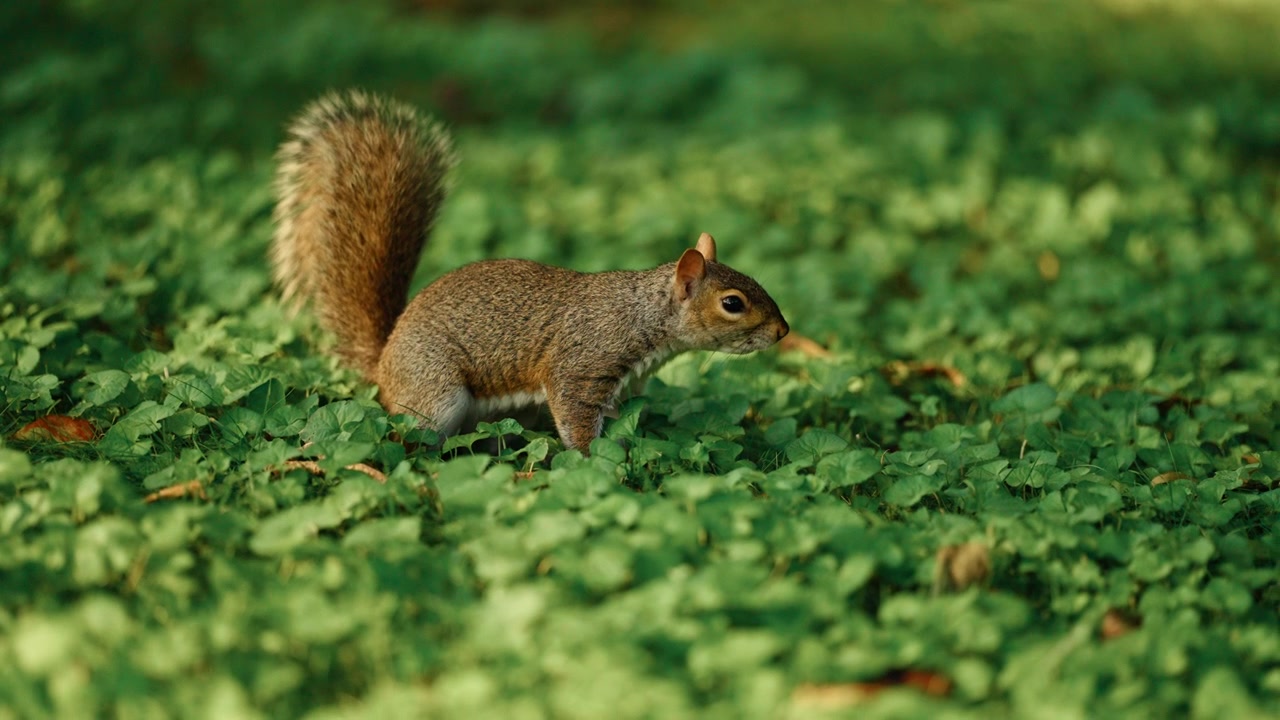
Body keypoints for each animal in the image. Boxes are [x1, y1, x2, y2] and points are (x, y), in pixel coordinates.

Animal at [270, 89, 789, 452]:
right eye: (733, 303)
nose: (784, 332)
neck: (641, 316)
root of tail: (383, 363)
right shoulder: (582, 367)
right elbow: (577, 423)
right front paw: (592, 462)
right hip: (434, 396)